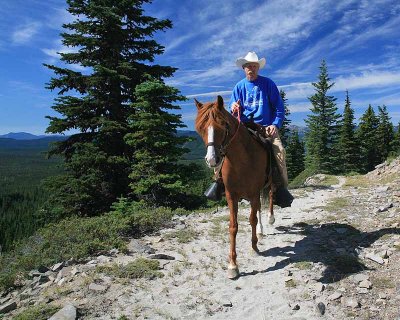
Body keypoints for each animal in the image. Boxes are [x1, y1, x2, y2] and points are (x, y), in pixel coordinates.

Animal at [194, 95, 276, 280]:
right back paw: (260, 231)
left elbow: (252, 219)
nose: (212, 159)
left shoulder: (254, 192)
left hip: (268, 183)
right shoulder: (231, 195)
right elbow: (233, 226)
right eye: (201, 128)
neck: (242, 160)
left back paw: (269, 220)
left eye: (223, 126)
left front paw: (254, 247)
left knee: (269, 198)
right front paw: (233, 265)